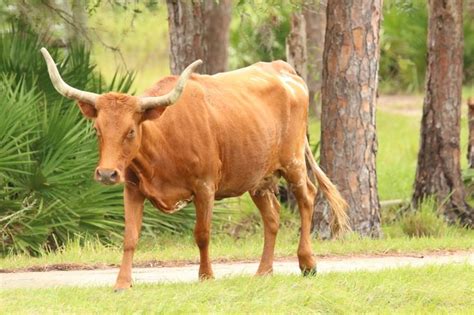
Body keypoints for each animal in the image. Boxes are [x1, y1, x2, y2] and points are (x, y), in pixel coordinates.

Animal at [40, 47, 350, 292]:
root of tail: (280, 68)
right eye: (97, 130)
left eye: (131, 131)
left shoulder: (205, 187)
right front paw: (122, 282)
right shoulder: (132, 188)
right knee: (272, 217)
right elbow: (130, 237)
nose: (106, 174)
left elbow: (202, 233)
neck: (162, 141)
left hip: (293, 162)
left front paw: (206, 276)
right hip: (257, 178)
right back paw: (263, 271)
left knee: (307, 197)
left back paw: (307, 262)